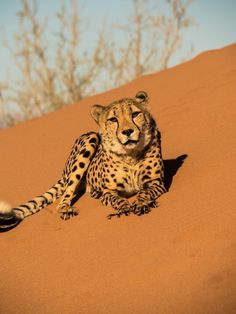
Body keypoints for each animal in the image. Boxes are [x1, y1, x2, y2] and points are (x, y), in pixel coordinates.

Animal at [0, 91, 166, 231]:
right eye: (113, 120)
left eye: (135, 114)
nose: (127, 131)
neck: (130, 155)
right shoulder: (109, 191)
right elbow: (115, 199)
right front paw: (124, 206)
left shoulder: (156, 183)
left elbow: (145, 193)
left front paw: (141, 203)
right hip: (90, 139)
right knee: (64, 196)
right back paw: (67, 209)